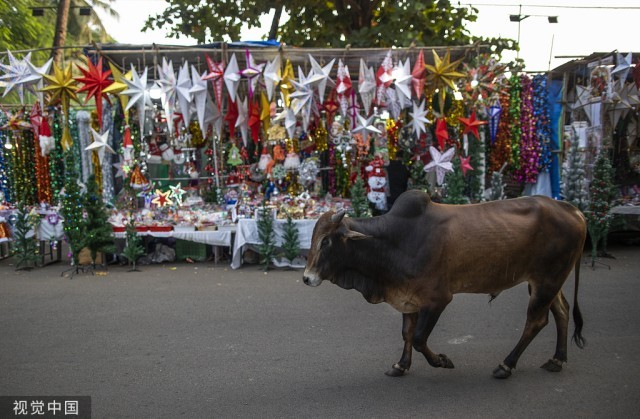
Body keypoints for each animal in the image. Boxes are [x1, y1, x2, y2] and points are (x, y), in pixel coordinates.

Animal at [302, 191, 588, 380]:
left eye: (326, 241)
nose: (306, 278)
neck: (391, 241)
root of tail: (572, 209)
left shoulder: (437, 299)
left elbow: (419, 338)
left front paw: (441, 360)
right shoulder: (408, 297)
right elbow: (407, 334)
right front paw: (401, 366)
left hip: (547, 280)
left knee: (536, 322)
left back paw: (506, 365)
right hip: (546, 281)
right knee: (562, 311)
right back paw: (556, 359)